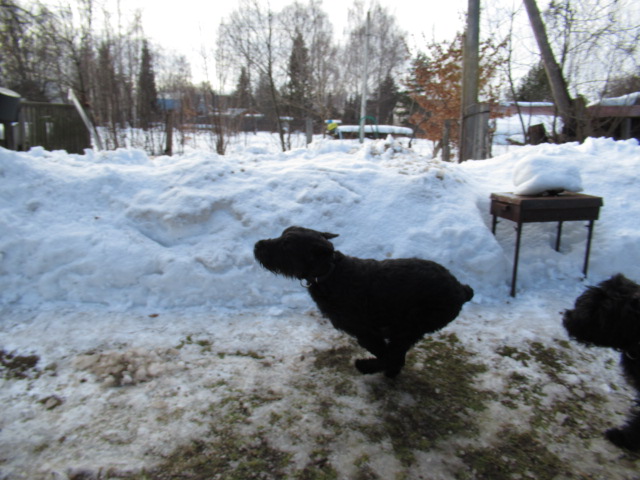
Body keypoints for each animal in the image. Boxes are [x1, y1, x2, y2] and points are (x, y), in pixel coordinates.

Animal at [254, 226, 474, 378]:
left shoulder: (366, 332)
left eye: (286, 244)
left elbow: (384, 353)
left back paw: (368, 367)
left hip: (409, 326)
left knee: (394, 356)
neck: (330, 273)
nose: (257, 245)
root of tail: (461, 289)